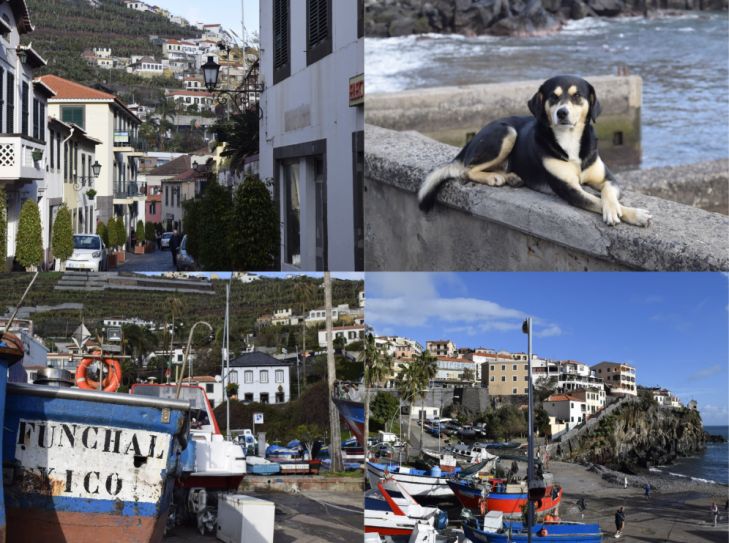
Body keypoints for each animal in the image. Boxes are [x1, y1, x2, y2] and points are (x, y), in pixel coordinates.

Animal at [418, 75, 652, 226]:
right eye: (553, 97)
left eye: (577, 96)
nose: (562, 113)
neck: (569, 140)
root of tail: (473, 138)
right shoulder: (568, 189)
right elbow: (595, 200)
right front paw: (633, 214)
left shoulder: (608, 178)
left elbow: (607, 193)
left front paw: (617, 209)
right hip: (507, 132)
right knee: (466, 170)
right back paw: (494, 177)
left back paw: (511, 177)